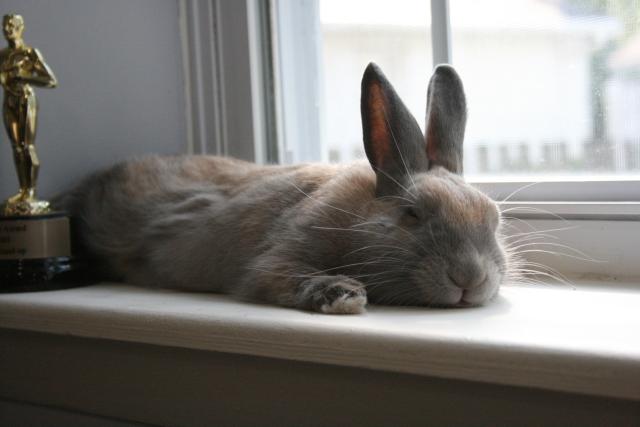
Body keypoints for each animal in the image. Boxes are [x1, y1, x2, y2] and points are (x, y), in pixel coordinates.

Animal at [59, 63, 507, 314]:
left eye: (494, 219)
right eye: (412, 214)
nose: (470, 278)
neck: (357, 218)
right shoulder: (276, 258)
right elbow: (274, 274)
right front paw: (344, 297)